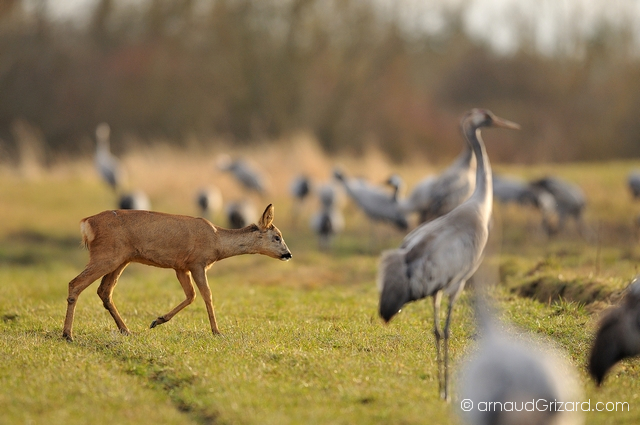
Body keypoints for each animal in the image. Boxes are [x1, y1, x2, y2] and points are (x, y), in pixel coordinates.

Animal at [61, 204, 292, 340]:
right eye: (277, 237)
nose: (288, 254)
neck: (217, 242)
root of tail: (87, 223)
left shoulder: (180, 266)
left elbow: (191, 295)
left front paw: (157, 320)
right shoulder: (197, 262)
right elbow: (206, 295)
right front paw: (217, 331)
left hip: (120, 259)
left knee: (104, 291)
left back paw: (126, 330)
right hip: (106, 255)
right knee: (75, 283)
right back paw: (67, 334)